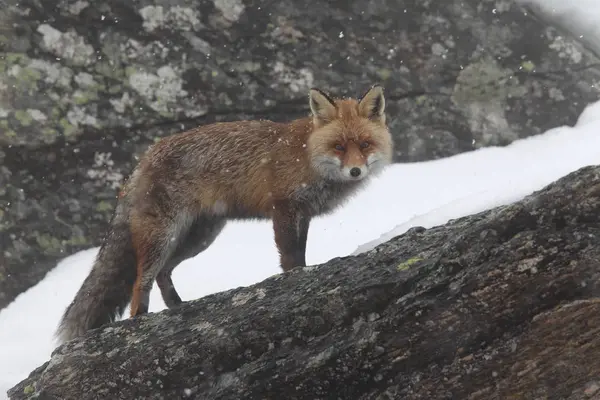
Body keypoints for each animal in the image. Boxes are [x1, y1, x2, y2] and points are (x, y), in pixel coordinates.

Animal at [56, 83, 394, 340]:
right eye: (339, 147)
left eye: (365, 144)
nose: (355, 171)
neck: (308, 156)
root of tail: (144, 159)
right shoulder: (283, 208)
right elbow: (291, 258)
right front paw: (294, 281)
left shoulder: (304, 214)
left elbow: (301, 252)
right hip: (162, 237)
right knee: (140, 283)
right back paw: (140, 321)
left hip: (198, 237)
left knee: (164, 273)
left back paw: (178, 307)